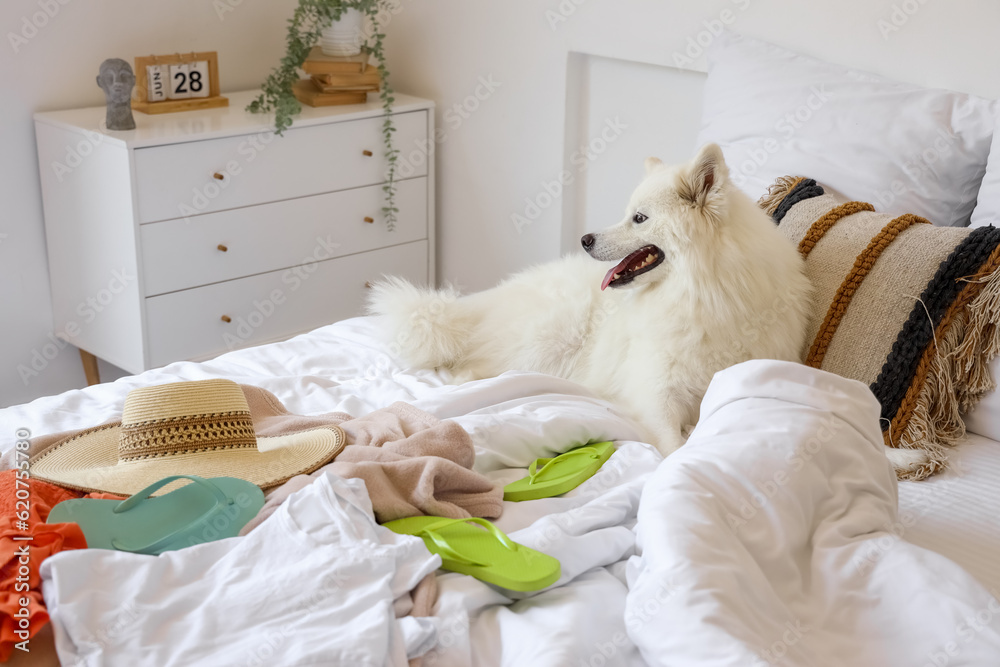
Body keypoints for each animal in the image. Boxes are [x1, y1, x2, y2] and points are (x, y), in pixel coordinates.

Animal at [370, 144, 928, 472]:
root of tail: (484, 304)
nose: (586, 238)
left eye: (639, 218)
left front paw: (902, 455)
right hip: (550, 338)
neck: (705, 295)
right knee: (474, 364)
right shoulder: (656, 390)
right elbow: (676, 443)